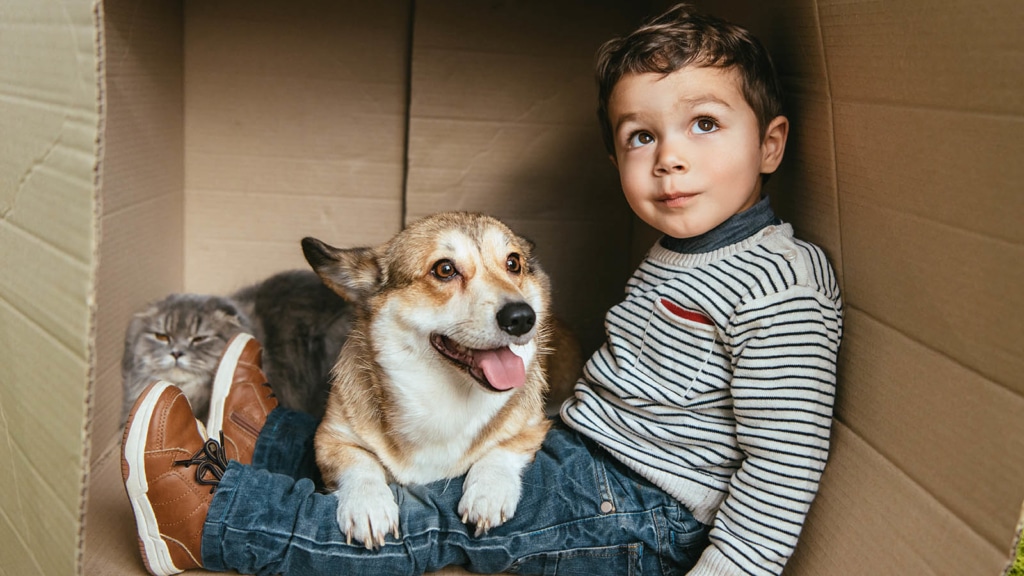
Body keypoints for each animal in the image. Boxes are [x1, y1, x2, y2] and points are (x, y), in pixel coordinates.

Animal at [301, 210, 557, 545]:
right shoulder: (329, 438)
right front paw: (367, 504)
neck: (446, 395)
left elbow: (502, 449)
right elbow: (359, 462)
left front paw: (489, 493)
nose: (522, 318)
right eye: (445, 269)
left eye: (513, 263)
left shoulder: (533, 426)